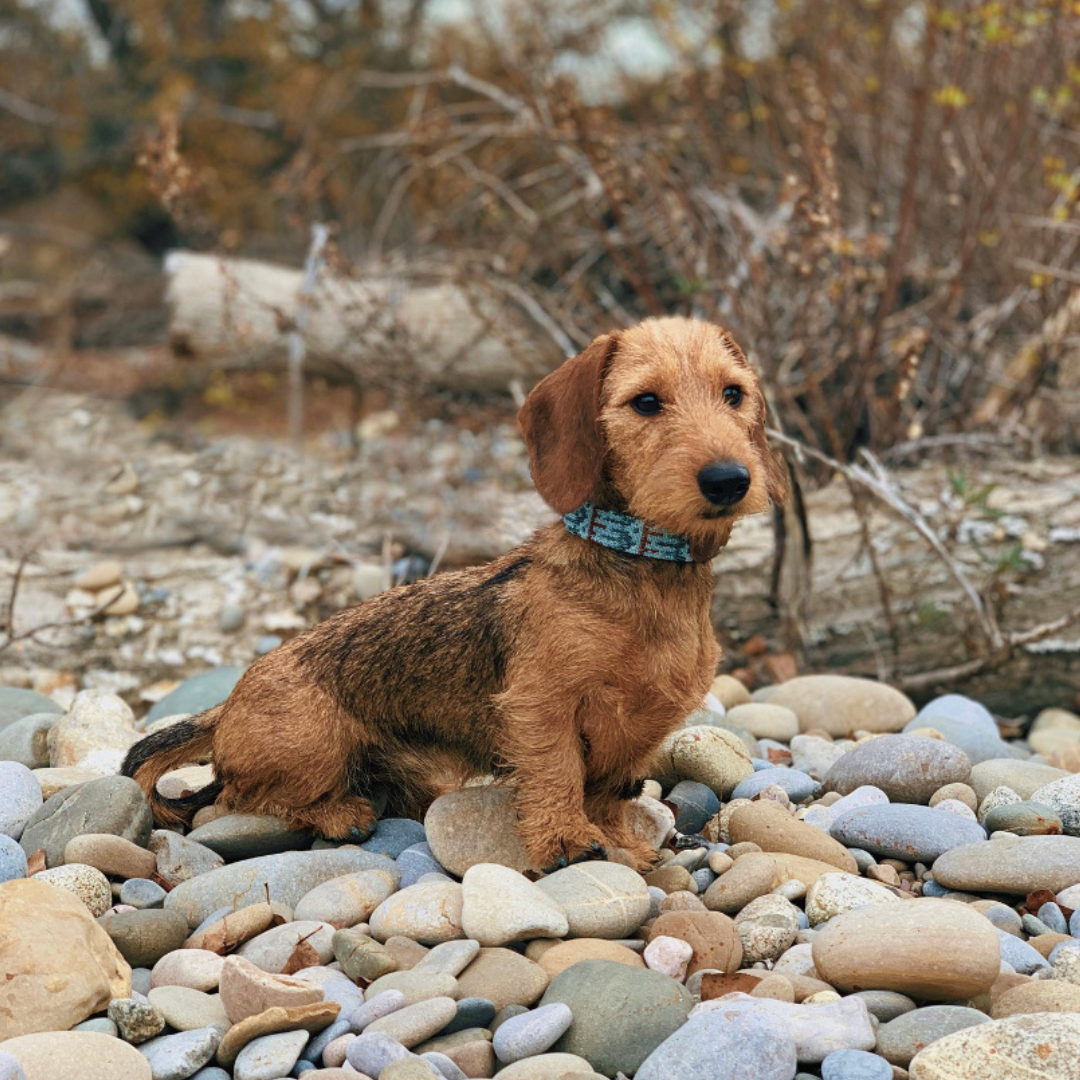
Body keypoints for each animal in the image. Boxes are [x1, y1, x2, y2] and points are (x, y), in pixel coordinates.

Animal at [124, 315, 786, 872]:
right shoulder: (541, 707)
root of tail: (227, 704)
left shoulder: (642, 728)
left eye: (733, 393)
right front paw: (568, 840)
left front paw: (623, 844)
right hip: (312, 742)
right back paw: (337, 812)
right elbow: (558, 773)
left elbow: (608, 792)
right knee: (236, 795)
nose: (729, 479)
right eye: (646, 401)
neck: (641, 569)